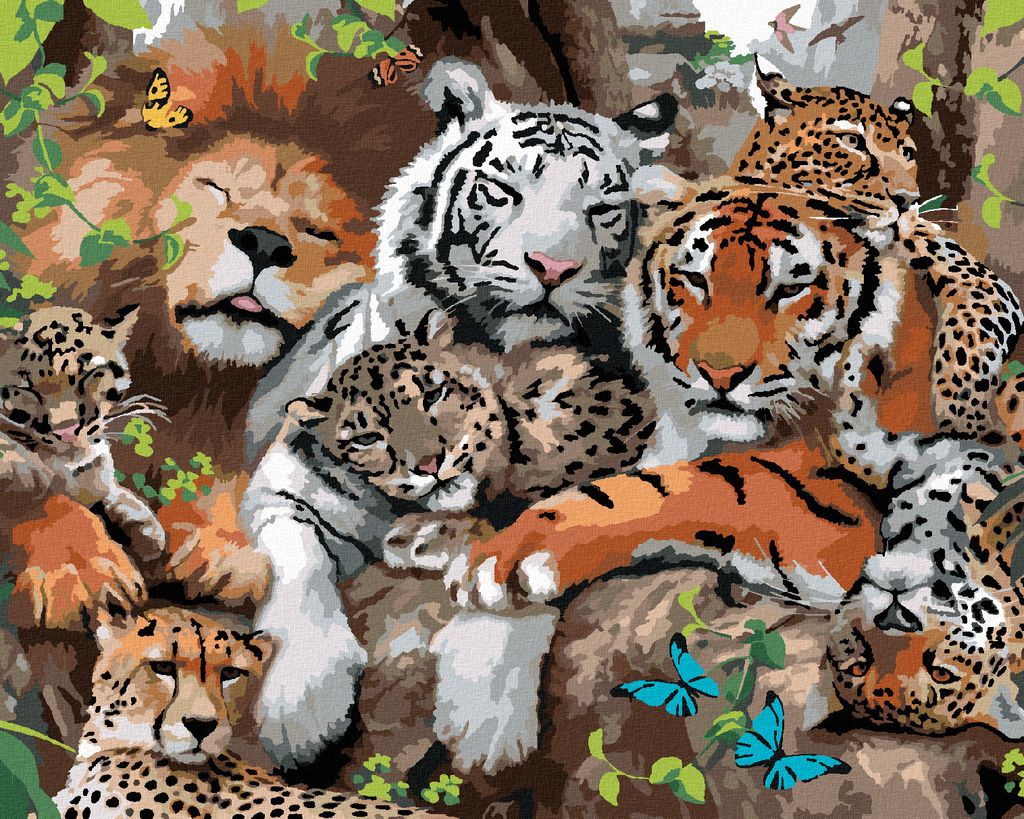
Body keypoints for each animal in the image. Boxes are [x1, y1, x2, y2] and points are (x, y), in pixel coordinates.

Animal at [1, 305, 165, 630]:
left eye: (90, 373)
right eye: (24, 389)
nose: (65, 430)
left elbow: (106, 488)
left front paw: (143, 522)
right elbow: (42, 499)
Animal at [443, 178, 1024, 756]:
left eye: (790, 288)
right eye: (695, 279)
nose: (719, 375)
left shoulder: (831, 516)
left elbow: (683, 487)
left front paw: (500, 563)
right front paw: (483, 674)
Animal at [733, 60, 1023, 441]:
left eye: (908, 154)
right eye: (851, 141)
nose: (907, 200)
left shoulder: (979, 279)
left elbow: (971, 333)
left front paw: (963, 416)